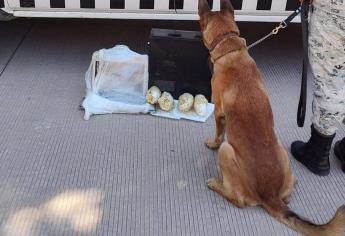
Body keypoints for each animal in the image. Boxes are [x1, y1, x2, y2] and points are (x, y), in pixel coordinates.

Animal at [198, 0, 344, 235]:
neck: (229, 46)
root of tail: (270, 197)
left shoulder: (219, 113)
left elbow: (219, 133)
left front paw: (212, 142)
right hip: (281, 150)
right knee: (287, 196)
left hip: (227, 151)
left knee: (238, 200)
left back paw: (215, 184)